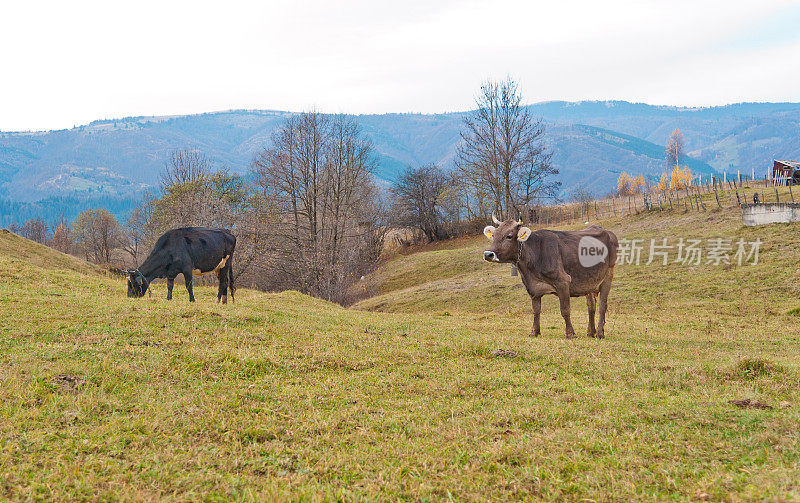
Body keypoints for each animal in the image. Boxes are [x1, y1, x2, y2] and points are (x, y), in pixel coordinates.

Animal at [482, 216, 620, 338]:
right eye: (493, 235)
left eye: (509, 236)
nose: (488, 254)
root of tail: (605, 230)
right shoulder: (532, 287)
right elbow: (536, 310)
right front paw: (534, 332)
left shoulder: (563, 282)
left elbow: (565, 310)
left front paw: (570, 333)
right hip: (589, 281)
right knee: (591, 307)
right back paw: (591, 332)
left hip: (608, 274)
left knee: (602, 306)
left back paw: (600, 333)